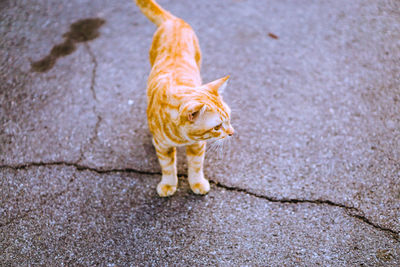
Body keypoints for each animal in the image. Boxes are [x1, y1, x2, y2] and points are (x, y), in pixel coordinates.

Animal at [134, 0, 234, 197]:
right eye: (217, 126)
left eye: (229, 119)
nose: (232, 133)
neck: (182, 138)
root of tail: (174, 21)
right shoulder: (163, 147)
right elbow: (167, 167)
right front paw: (168, 184)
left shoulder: (198, 146)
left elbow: (195, 167)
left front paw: (197, 183)